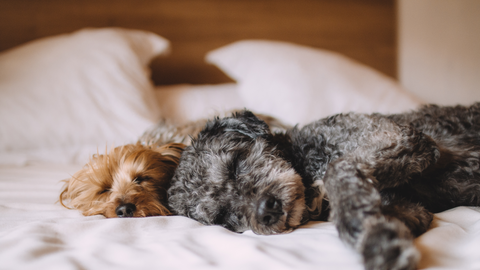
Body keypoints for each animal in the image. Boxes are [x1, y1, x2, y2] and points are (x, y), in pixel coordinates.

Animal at [168, 104, 480, 270]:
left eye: (234, 164)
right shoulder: (414, 210)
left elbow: (336, 170)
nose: (266, 211)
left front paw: (378, 245)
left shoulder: (400, 137)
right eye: (224, 217)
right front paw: (375, 231)